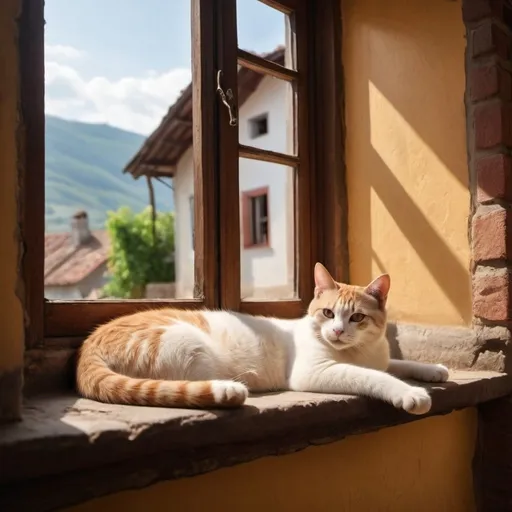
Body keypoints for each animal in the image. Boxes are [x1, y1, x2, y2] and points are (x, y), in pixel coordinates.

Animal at [76, 262, 448, 414]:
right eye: (328, 313)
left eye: (357, 317)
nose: (338, 331)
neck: (360, 350)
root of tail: (90, 342)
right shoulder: (314, 372)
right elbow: (374, 377)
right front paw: (411, 393)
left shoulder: (380, 356)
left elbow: (396, 363)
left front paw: (435, 370)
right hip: (190, 348)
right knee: (178, 388)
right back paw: (228, 390)